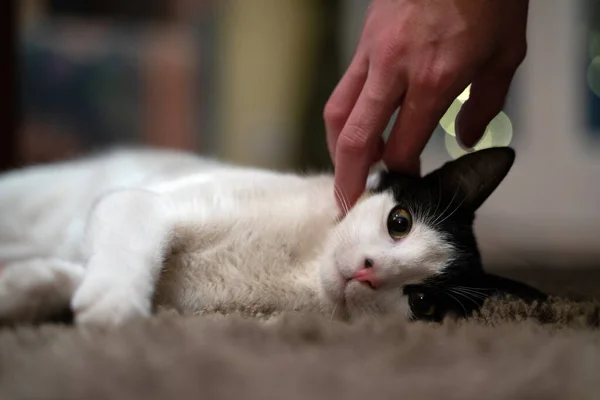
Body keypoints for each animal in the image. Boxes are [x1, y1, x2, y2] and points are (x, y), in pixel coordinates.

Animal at [0, 145, 548, 326]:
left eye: (422, 302)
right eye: (399, 222)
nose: (368, 271)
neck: (298, 268)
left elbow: (65, 276)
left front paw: (19, 291)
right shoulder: (138, 203)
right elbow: (126, 245)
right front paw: (113, 304)